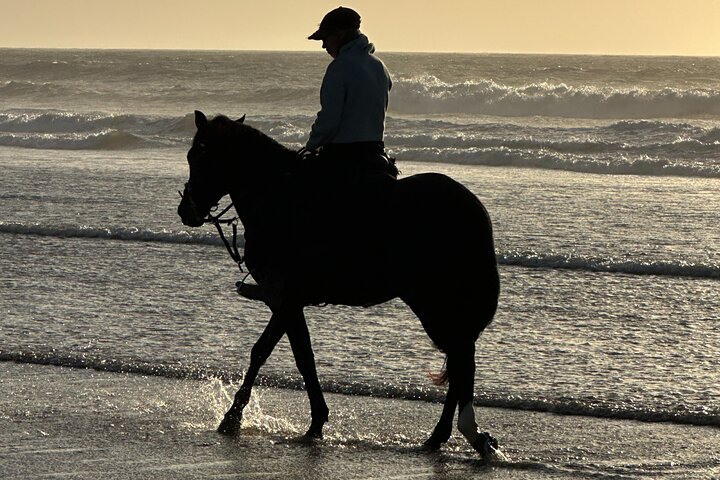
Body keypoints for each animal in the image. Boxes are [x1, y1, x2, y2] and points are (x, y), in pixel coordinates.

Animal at [177, 111, 501, 457]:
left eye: (198, 156)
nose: (186, 211)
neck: (276, 194)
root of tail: (473, 210)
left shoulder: (284, 297)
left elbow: (279, 354)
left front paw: (237, 417)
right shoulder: (288, 301)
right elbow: (289, 353)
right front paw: (309, 420)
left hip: (433, 301)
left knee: (461, 357)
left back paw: (464, 434)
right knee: (459, 360)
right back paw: (441, 437)